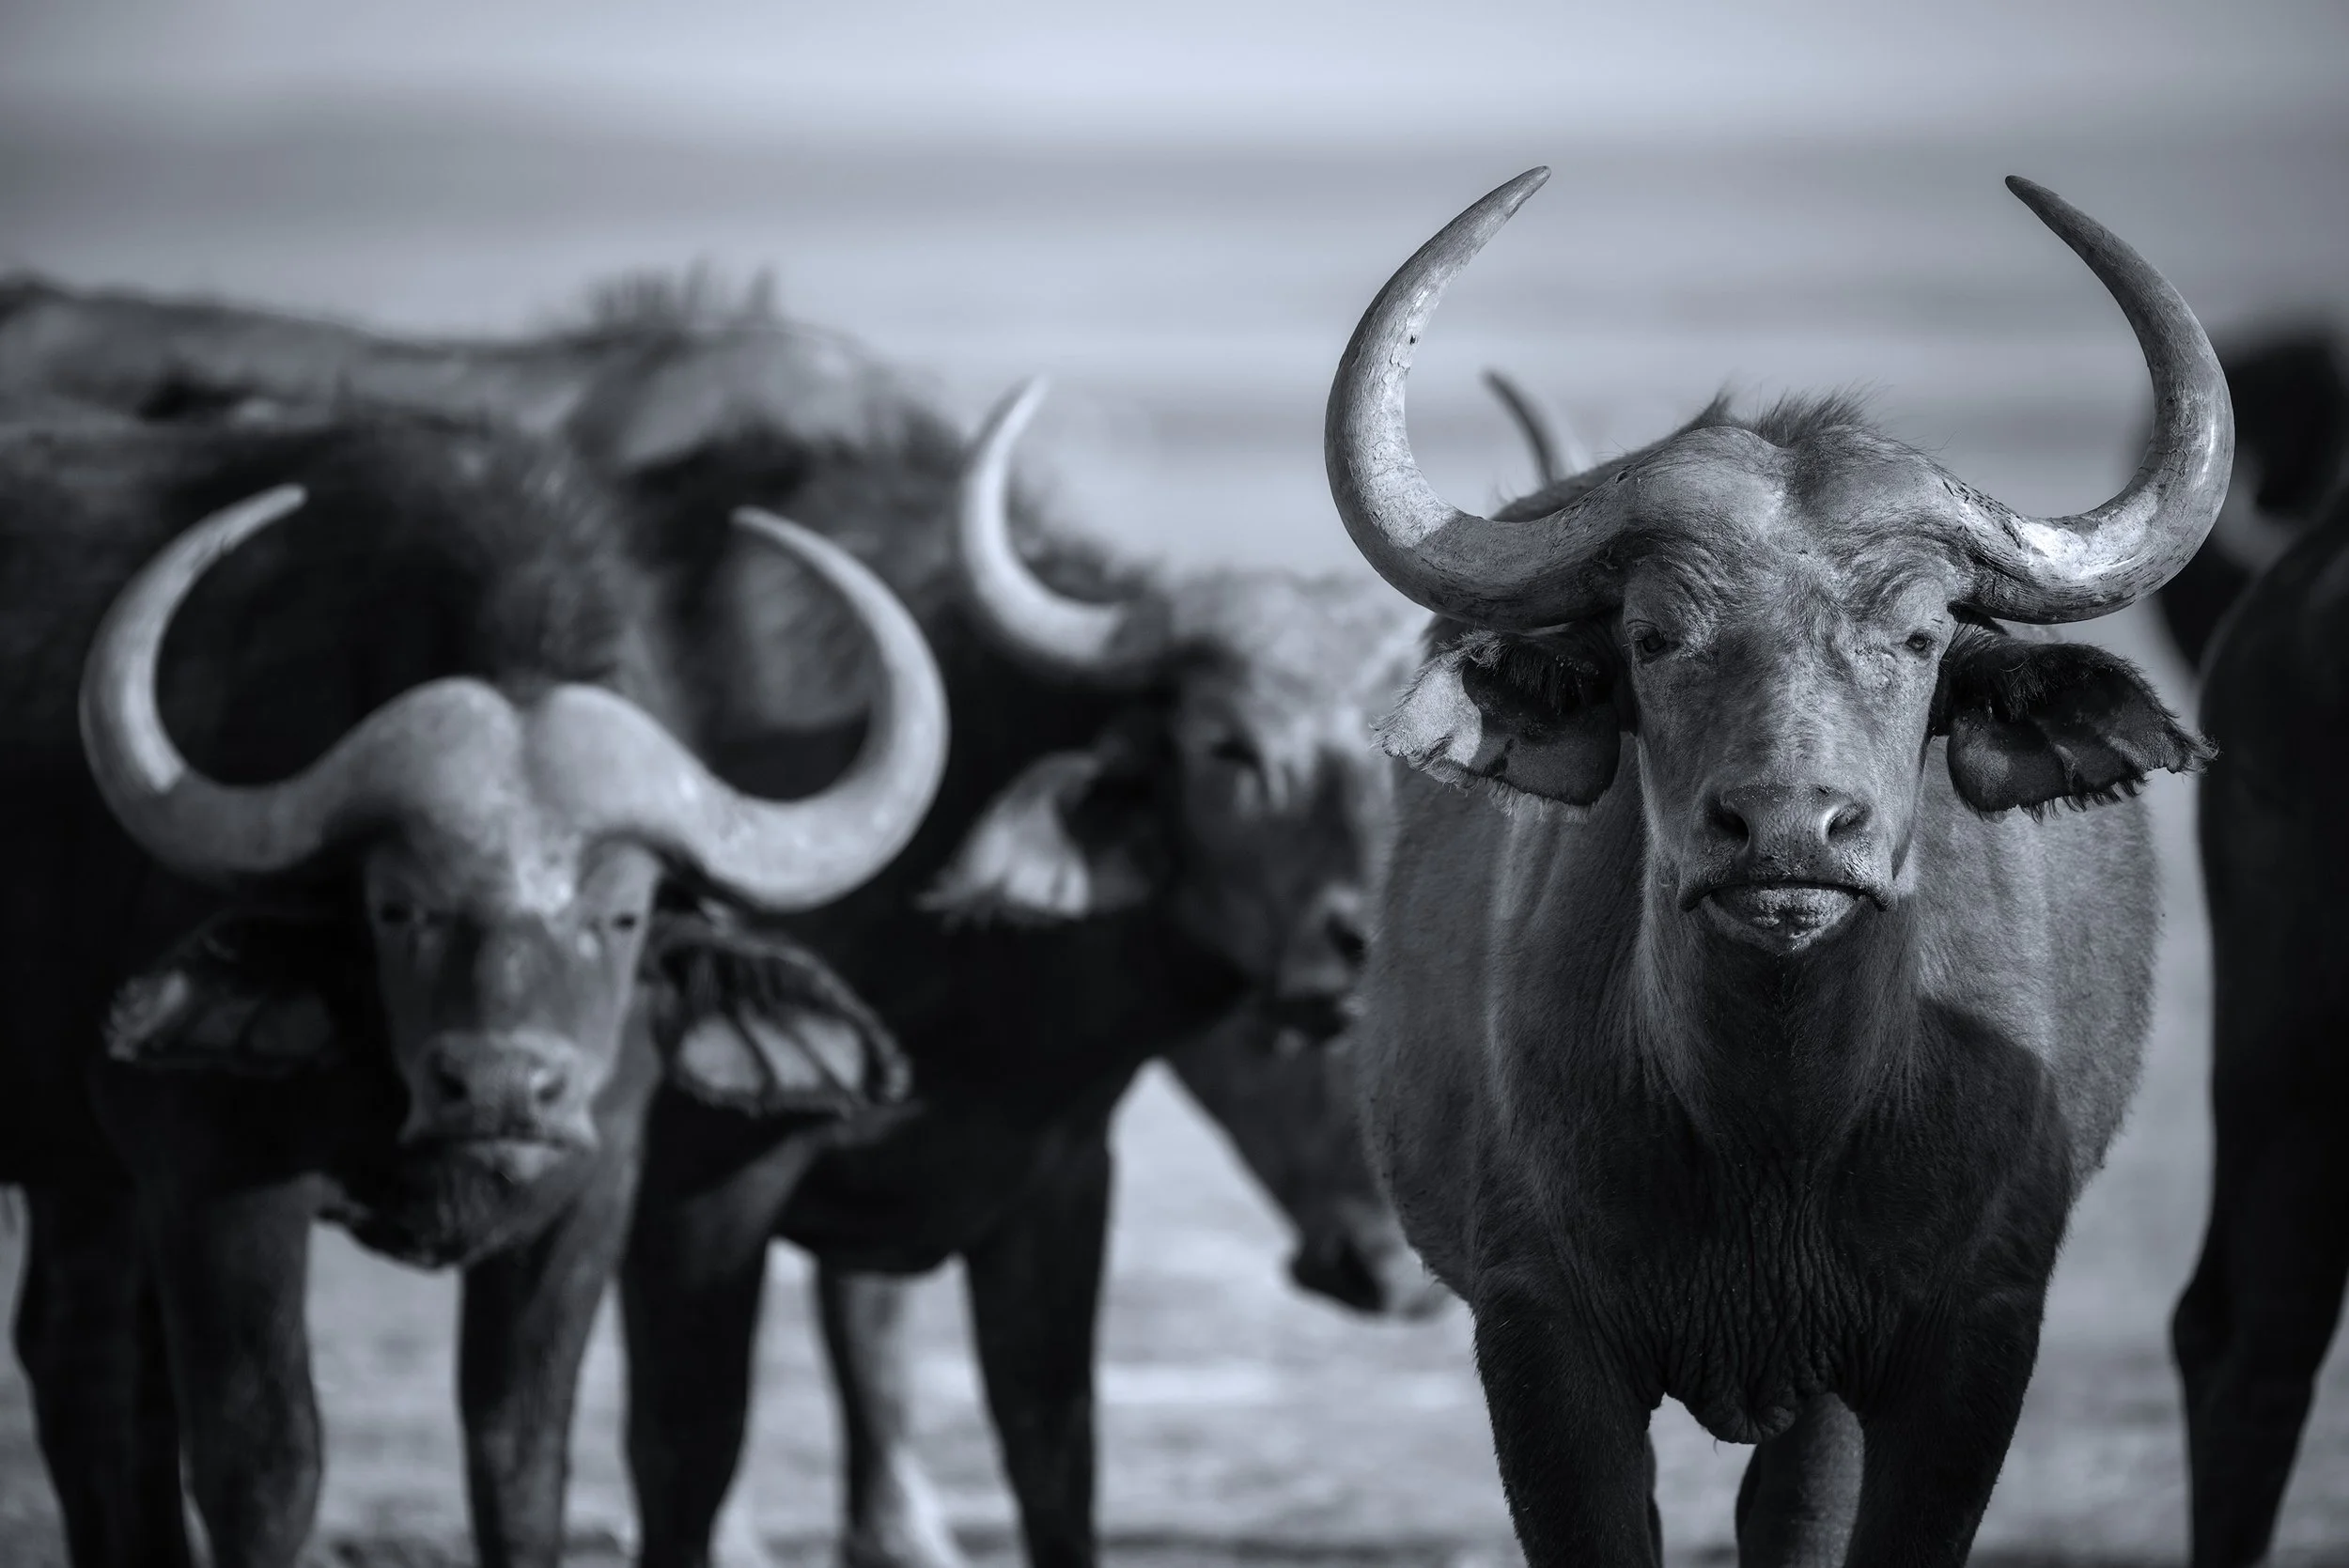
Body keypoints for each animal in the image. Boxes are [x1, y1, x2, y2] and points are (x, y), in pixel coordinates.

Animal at [0, 409, 948, 1568]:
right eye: (396, 906)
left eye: (621, 914)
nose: (500, 1087)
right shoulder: (210, 1176)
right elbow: (263, 1461)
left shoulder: (589, 1193)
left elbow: (520, 1461)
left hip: (78, 1170)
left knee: (80, 1359)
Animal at [1323, 170, 2228, 1564]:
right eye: (1651, 635)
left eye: (1920, 636)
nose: (1790, 830)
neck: (1776, 1127)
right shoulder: (1539, 1340)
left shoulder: (1966, 1341)